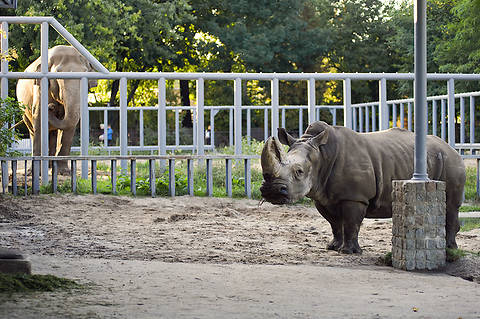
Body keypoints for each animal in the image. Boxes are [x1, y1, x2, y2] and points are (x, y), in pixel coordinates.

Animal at [15, 45, 97, 175]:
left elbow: (70, 125)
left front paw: (64, 172)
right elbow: (38, 116)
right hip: (22, 108)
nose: (51, 106)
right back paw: (32, 171)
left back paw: (50, 167)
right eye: (58, 73)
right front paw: (37, 173)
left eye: (85, 73)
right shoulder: (40, 87)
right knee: (32, 131)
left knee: (52, 134)